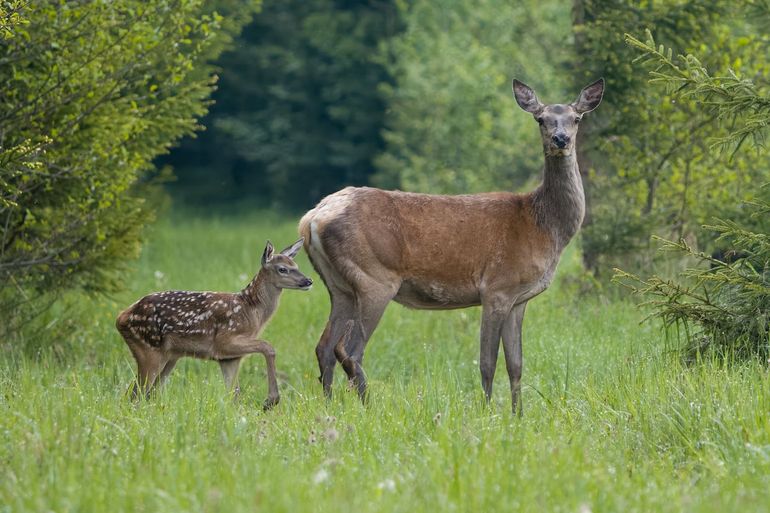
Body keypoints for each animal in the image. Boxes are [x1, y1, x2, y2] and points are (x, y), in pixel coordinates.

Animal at [296, 79, 604, 412]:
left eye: (576, 118)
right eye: (540, 119)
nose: (560, 139)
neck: (544, 228)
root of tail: (312, 218)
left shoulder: (519, 298)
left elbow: (516, 363)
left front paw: (518, 414)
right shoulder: (497, 287)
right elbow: (487, 362)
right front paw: (487, 412)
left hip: (339, 286)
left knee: (325, 347)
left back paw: (330, 408)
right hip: (374, 278)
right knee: (350, 351)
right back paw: (368, 408)